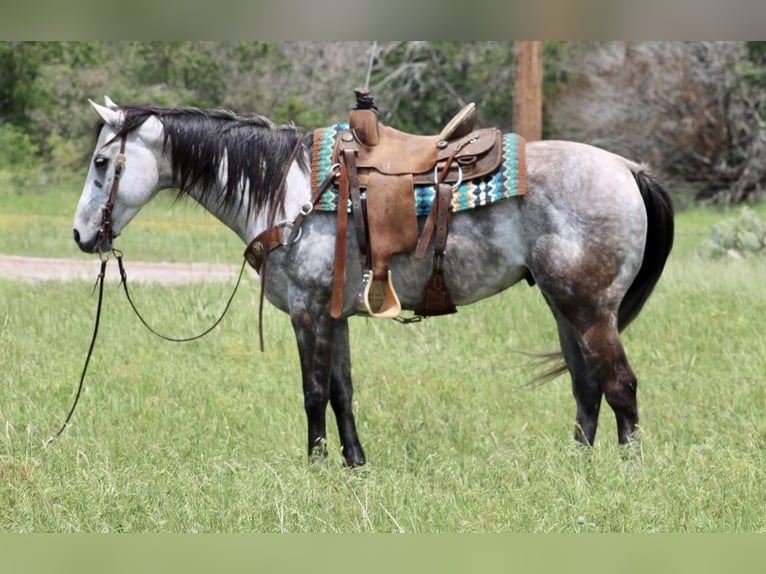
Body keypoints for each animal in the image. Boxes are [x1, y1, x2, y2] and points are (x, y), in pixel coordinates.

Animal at [72, 98, 672, 468]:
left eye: (102, 162)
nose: (81, 235)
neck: (288, 192)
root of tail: (628, 169)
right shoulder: (333, 312)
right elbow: (342, 390)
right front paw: (354, 463)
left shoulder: (308, 310)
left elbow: (314, 391)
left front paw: (315, 467)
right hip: (564, 306)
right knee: (587, 387)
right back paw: (577, 468)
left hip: (590, 308)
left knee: (620, 385)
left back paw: (629, 475)